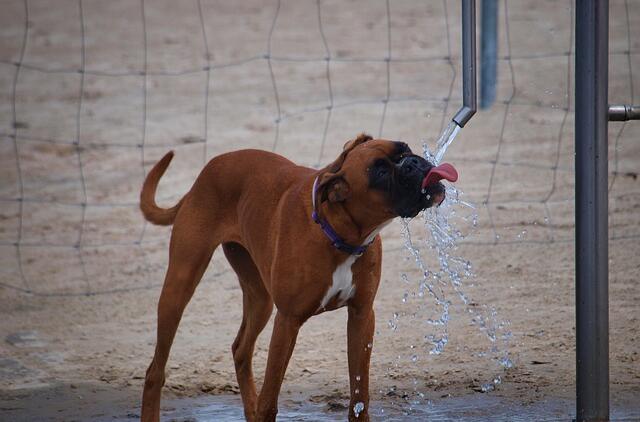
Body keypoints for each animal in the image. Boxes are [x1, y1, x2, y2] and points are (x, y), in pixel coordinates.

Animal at [139, 134, 457, 421]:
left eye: (405, 149)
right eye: (379, 172)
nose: (412, 162)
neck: (340, 233)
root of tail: (205, 172)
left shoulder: (361, 316)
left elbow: (359, 396)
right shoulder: (288, 322)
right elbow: (269, 401)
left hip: (260, 299)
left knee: (241, 349)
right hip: (179, 286)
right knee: (155, 369)